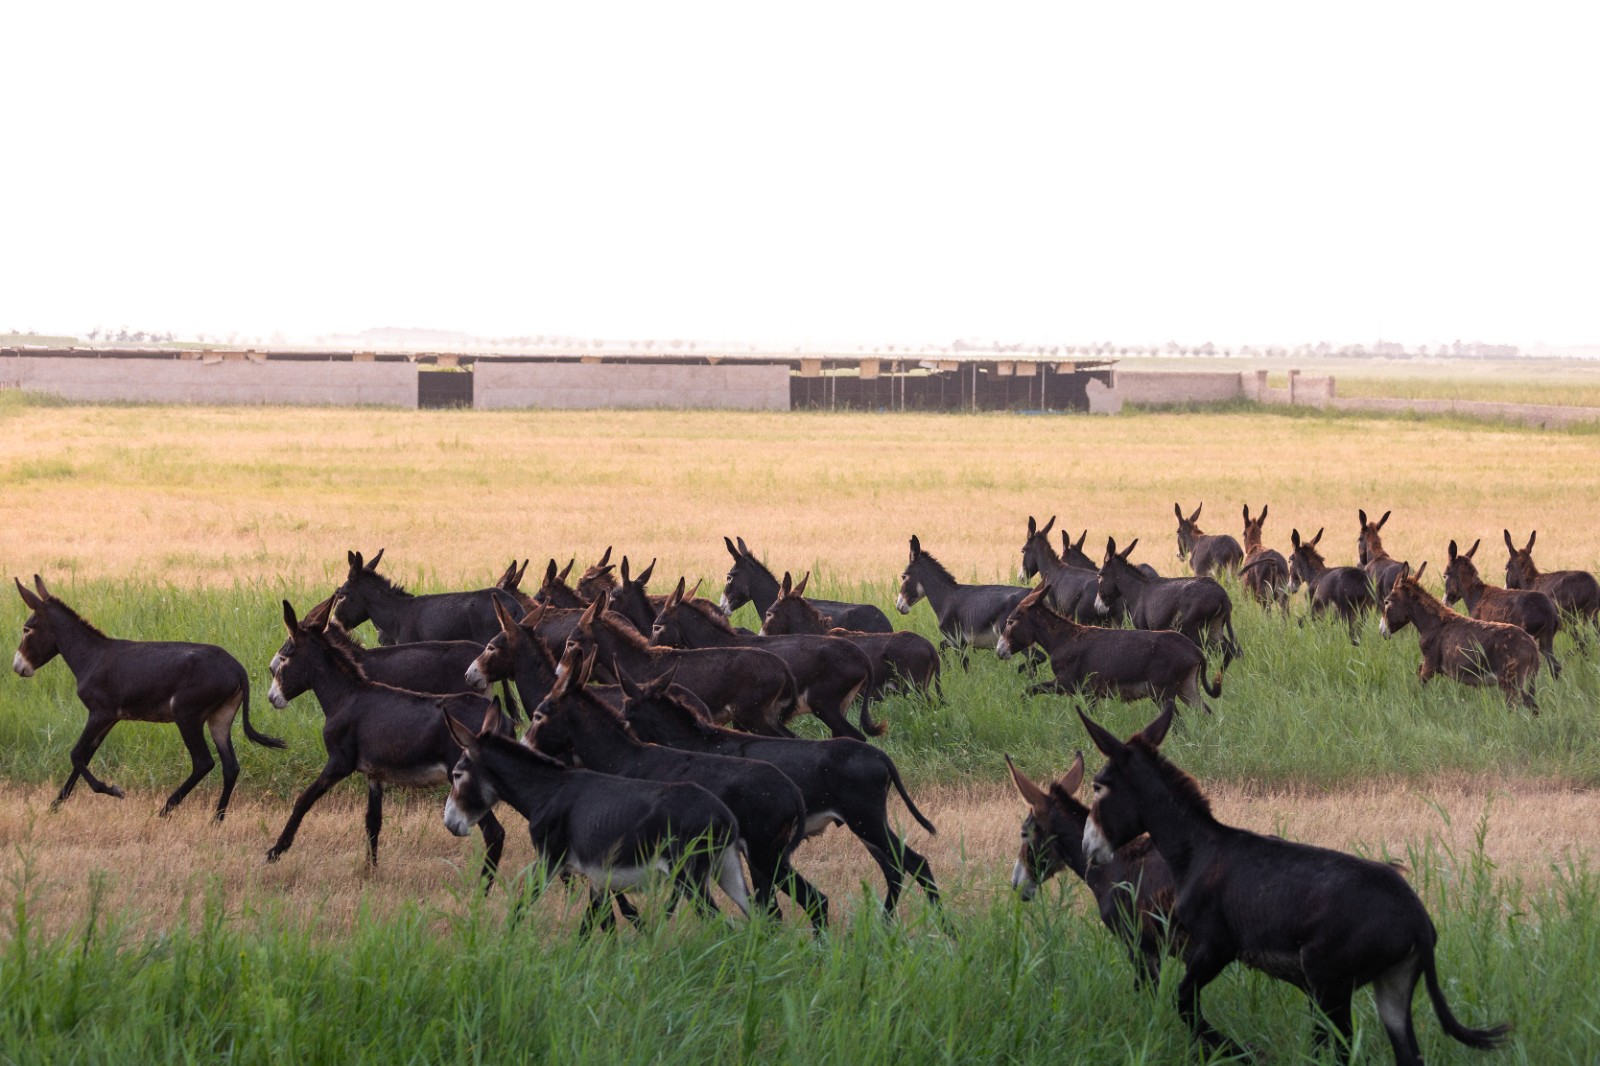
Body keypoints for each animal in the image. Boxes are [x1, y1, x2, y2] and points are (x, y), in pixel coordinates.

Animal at [12, 573, 284, 813]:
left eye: (27, 629)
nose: (17, 667)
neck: (92, 657)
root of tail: (237, 668)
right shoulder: (110, 719)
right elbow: (84, 757)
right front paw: (55, 805)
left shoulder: (100, 713)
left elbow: (76, 754)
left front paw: (112, 791)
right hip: (220, 717)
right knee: (231, 766)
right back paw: (216, 819)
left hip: (187, 715)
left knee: (203, 762)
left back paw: (166, 809)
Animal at [1075, 701, 1510, 1056]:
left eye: (1098, 786)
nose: (1087, 847)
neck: (1198, 850)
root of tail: (1418, 918)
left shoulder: (1217, 947)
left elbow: (1184, 1003)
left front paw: (1240, 1053)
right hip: (1391, 983)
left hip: (1330, 982)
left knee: (1340, 1048)